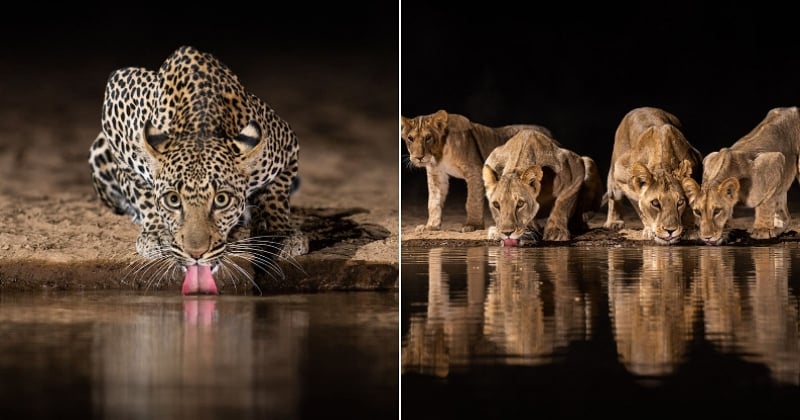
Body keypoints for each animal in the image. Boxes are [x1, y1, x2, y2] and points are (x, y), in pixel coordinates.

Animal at [89, 45, 308, 296]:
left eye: (222, 200)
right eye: (173, 200)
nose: (196, 254)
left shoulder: (287, 143)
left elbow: (276, 195)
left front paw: (281, 233)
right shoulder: (117, 103)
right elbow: (141, 191)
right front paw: (157, 233)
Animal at [400, 108, 552, 233]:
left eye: (428, 137)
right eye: (410, 138)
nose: (419, 157)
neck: (438, 156)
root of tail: (548, 132)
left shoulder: (475, 170)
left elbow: (472, 201)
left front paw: (472, 225)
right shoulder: (436, 175)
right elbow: (433, 201)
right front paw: (431, 226)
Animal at [604, 107, 704, 246]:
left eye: (680, 202)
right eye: (655, 203)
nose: (670, 231)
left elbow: (691, 204)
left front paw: (690, 230)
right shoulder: (622, 175)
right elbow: (640, 207)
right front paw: (648, 230)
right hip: (615, 170)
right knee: (613, 196)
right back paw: (614, 222)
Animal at [680, 106, 800, 244]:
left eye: (717, 211)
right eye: (697, 212)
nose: (707, 237)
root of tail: (792, 108)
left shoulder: (775, 160)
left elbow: (765, 202)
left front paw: (761, 230)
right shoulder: (710, 158)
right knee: (785, 214)